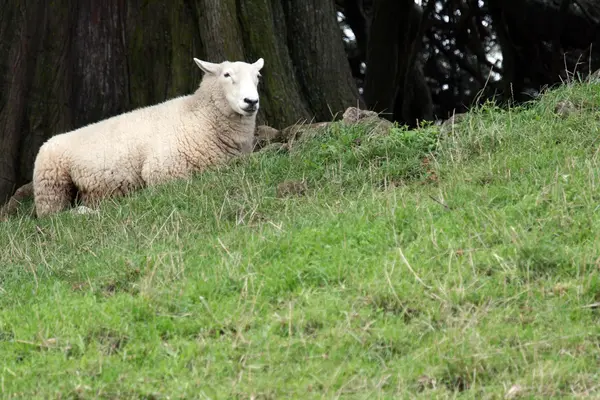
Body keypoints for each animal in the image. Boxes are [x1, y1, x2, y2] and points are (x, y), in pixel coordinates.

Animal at [31, 57, 264, 216]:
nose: (251, 101)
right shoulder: (162, 171)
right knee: (53, 216)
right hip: (51, 188)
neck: (200, 116)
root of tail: (48, 141)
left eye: (257, 77)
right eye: (227, 75)